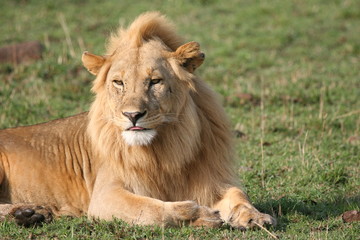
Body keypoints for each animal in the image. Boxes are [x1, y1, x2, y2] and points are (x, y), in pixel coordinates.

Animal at [0, 12, 276, 230]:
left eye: (155, 81)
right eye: (118, 82)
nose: (132, 115)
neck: (165, 149)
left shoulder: (211, 180)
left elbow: (238, 194)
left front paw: (254, 216)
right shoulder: (104, 196)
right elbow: (153, 209)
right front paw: (200, 215)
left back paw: (30, 213)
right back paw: (27, 213)